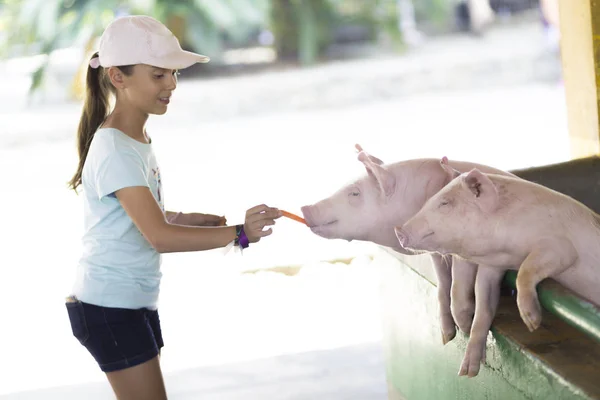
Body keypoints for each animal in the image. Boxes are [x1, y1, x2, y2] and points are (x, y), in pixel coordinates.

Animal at [300, 145, 516, 346]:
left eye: (354, 193)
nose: (305, 208)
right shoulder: (435, 253)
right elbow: (442, 284)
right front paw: (447, 337)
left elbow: (457, 286)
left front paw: (465, 327)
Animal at [396, 166, 600, 378]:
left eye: (445, 203)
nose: (398, 229)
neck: (506, 252)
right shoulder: (492, 268)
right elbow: (483, 305)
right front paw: (468, 372)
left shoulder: (561, 248)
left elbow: (525, 270)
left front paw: (532, 322)